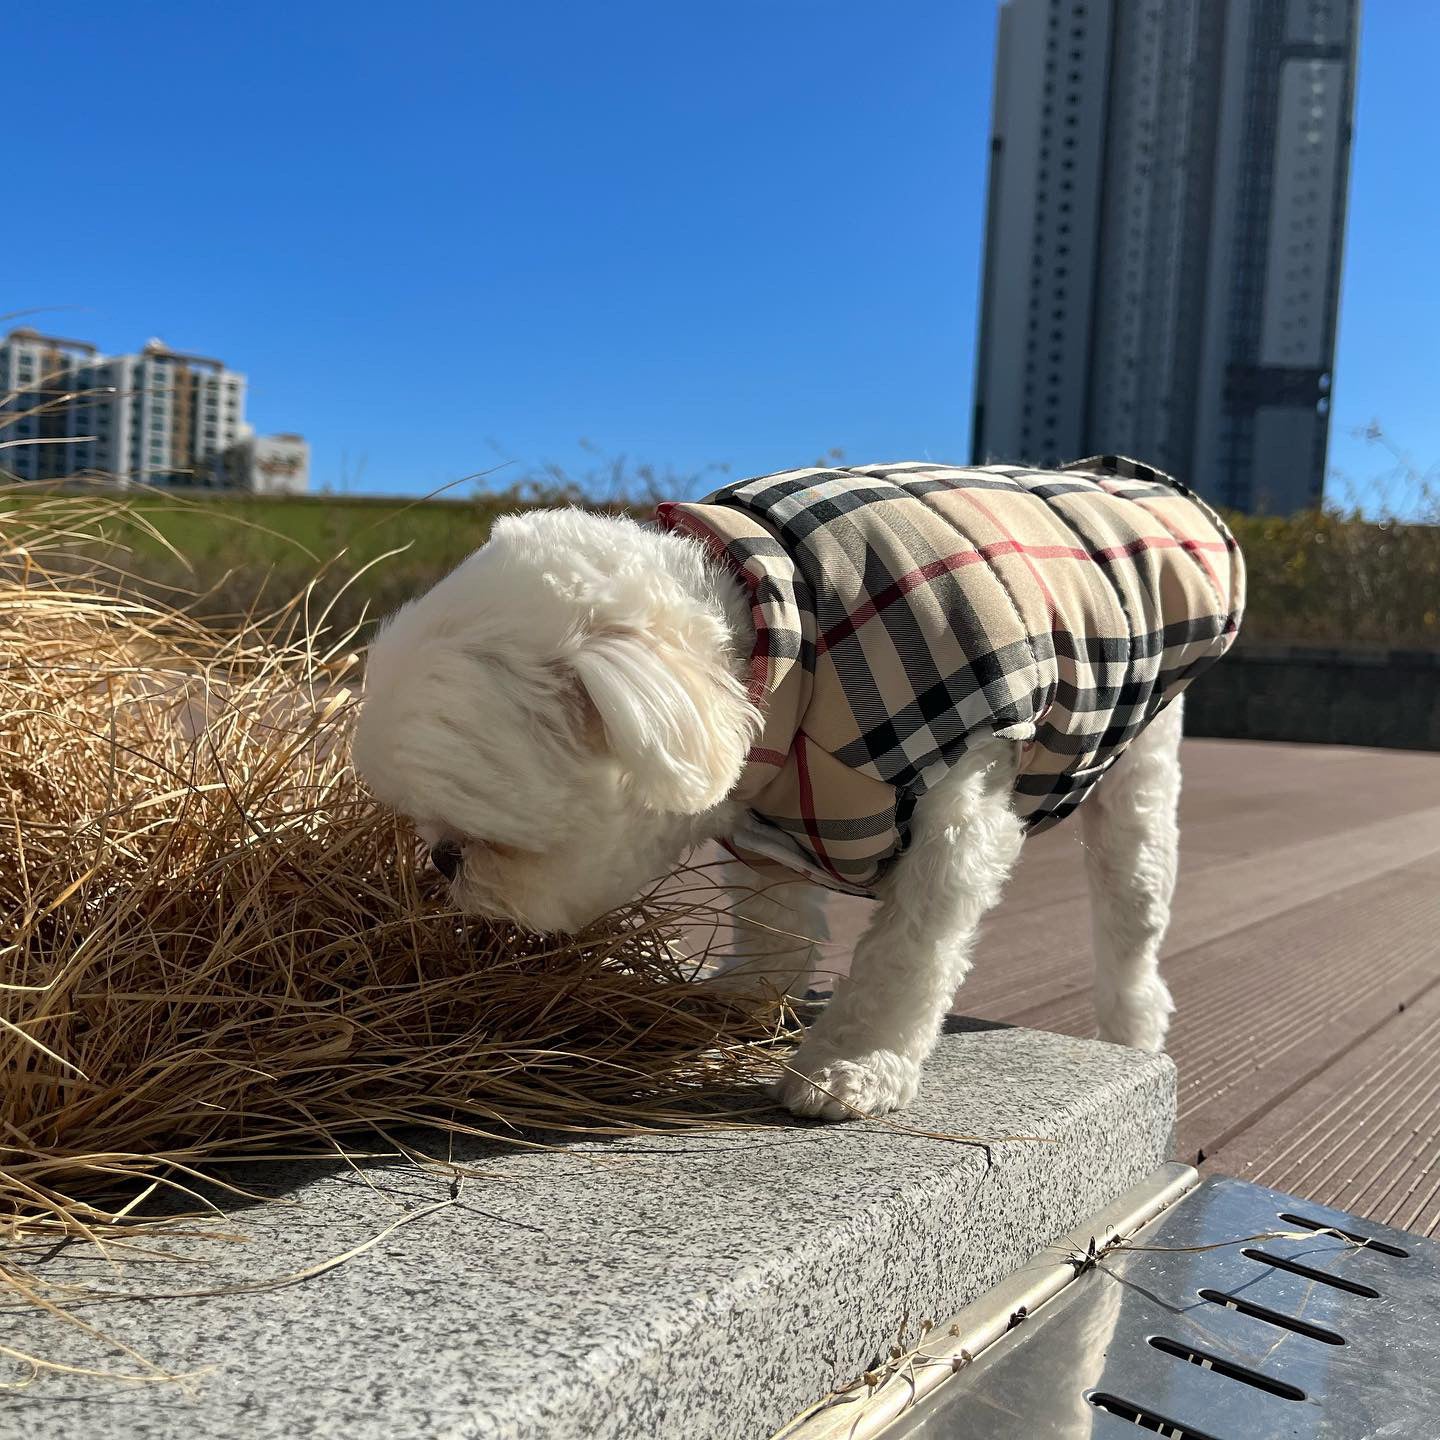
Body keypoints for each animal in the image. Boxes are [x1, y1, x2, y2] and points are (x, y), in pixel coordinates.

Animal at [351, 495, 1192, 1123]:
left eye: (484, 839)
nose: (441, 864)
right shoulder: (770, 816)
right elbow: (772, 920)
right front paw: (744, 992)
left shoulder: (959, 803)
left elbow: (907, 952)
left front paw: (855, 1063)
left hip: (1137, 781)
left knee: (1131, 925)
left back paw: (1133, 1032)